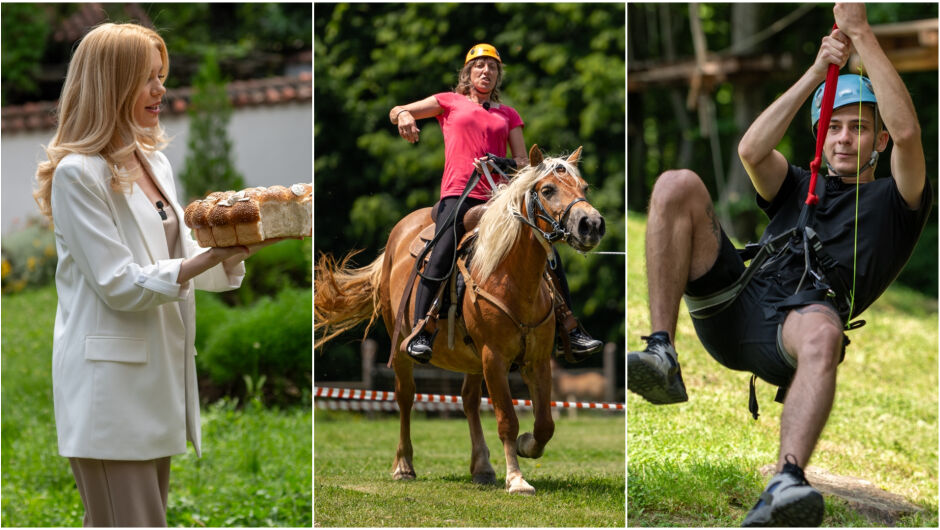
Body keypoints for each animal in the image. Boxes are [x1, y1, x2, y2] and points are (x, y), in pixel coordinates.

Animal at [316, 143, 604, 490]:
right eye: (547, 189)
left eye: (584, 187)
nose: (591, 224)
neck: (511, 277)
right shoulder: (494, 358)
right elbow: (507, 420)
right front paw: (516, 478)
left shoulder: (536, 360)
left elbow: (545, 423)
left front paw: (526, 446)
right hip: (402, 345)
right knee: (405, 397)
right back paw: (404, 465)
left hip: (472, 360)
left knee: (468, 400)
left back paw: (482, 466)